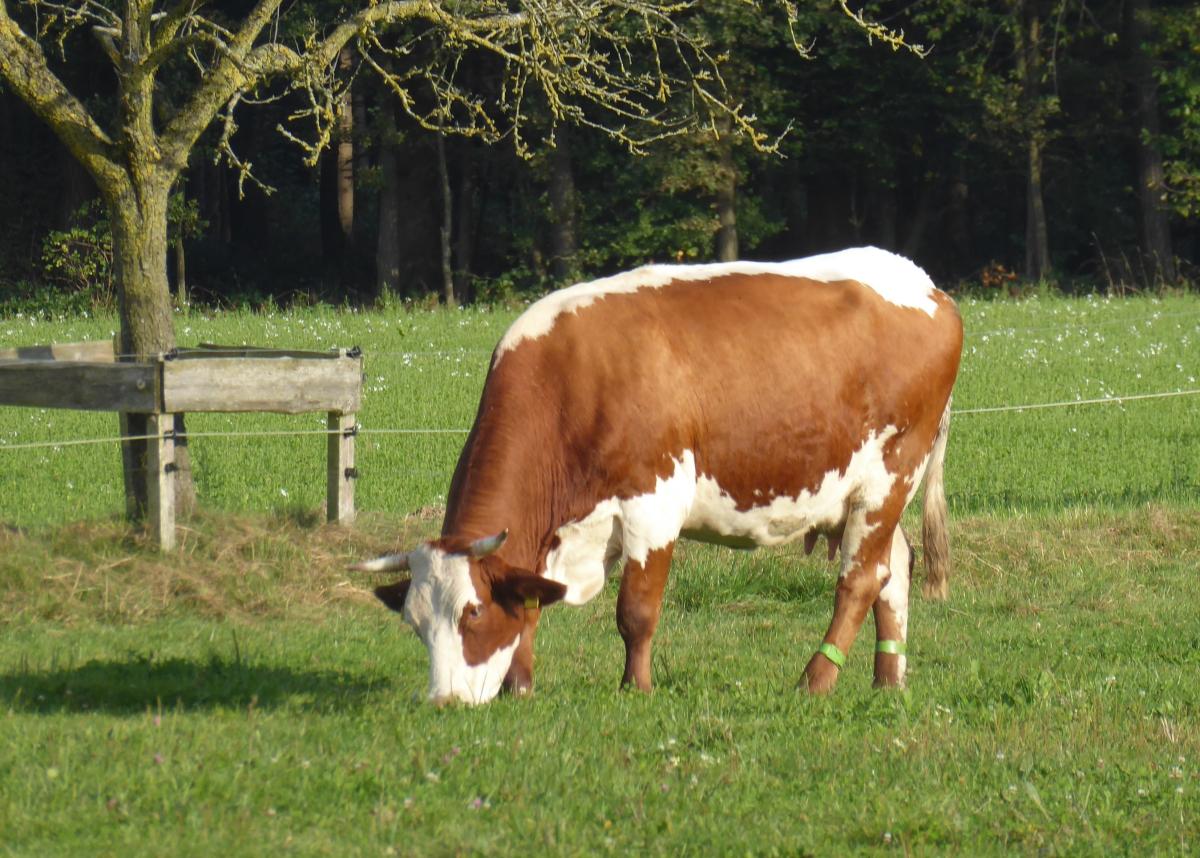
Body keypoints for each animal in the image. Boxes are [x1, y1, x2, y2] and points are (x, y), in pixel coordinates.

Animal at [355, 247, 964, 705]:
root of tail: (925, 284)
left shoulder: (653, 503)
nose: (444, 701)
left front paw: (636, 687)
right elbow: (531, 601)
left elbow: (636, 611)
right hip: (861, 492)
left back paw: (816, 679)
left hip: (891, 475)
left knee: (860, 580)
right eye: (414, 623)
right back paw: (887, 680)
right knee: (895, 566)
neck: (570, 383)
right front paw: (520, 686)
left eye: (472, 612)